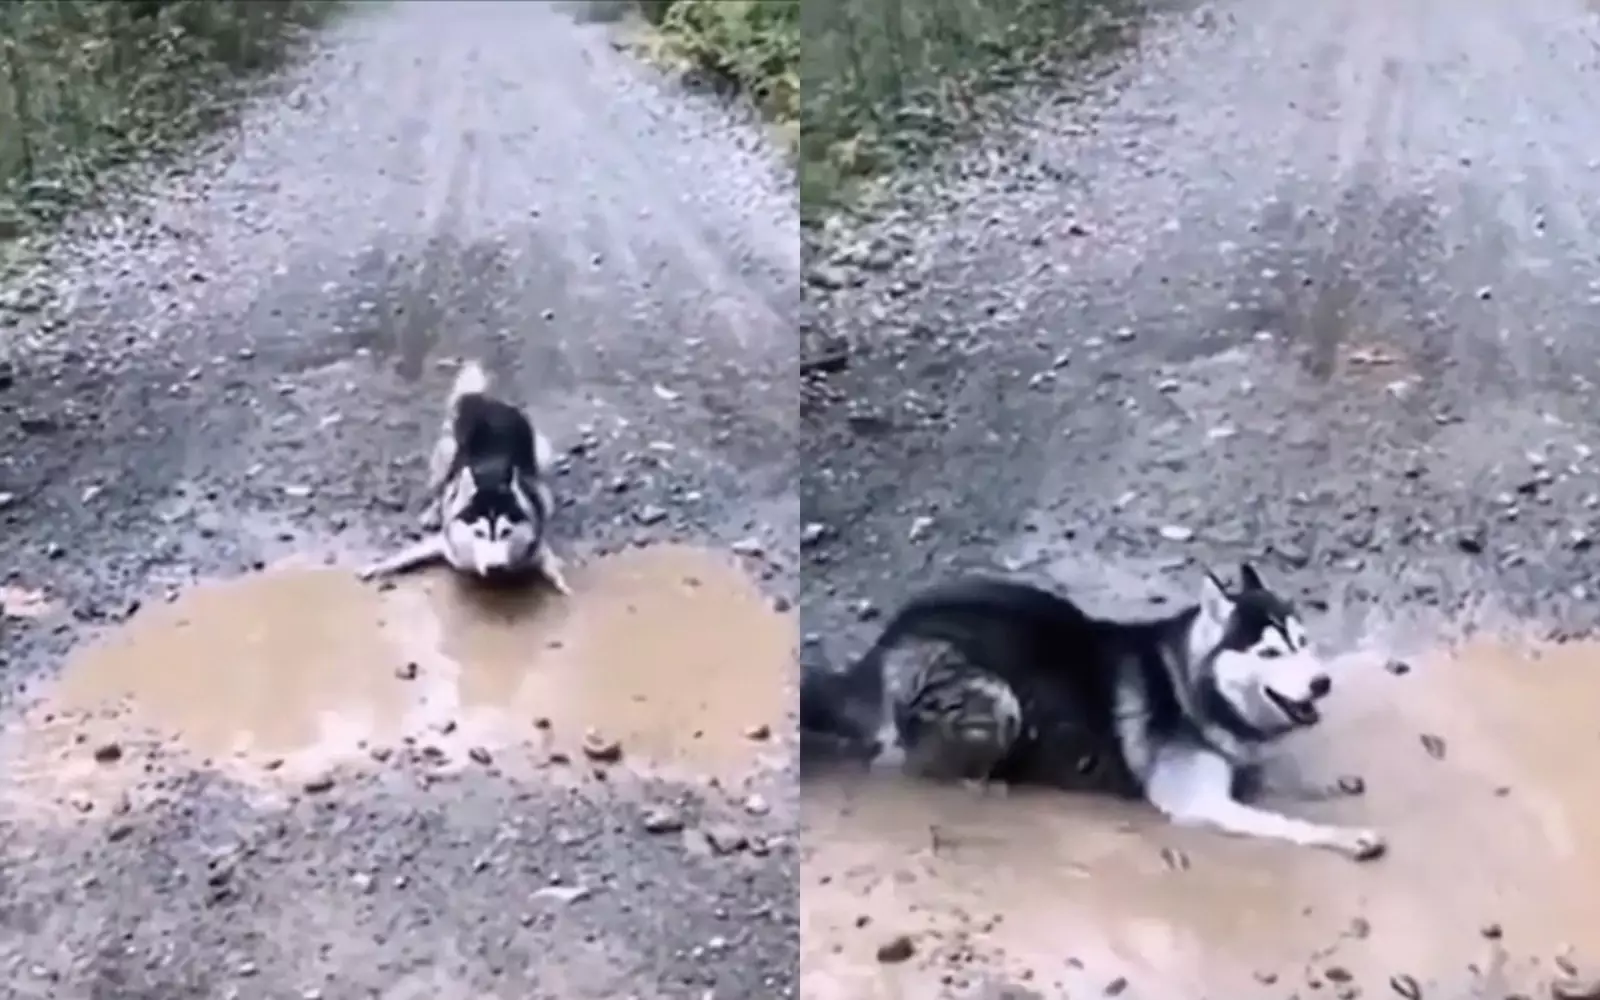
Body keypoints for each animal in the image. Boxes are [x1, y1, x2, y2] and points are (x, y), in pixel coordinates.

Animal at [360, 358, 572, 592]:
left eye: (506, 532)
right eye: (478, 533)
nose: (495, 568)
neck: (491, 479)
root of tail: (484, 400)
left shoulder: (532, 544)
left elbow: (546, 555)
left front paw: (558, 575)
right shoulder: (448, 544)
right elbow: (407, 554)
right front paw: (378, 566)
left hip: (540, 457)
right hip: (445, 455)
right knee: (441, 487)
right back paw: (433, 511)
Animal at [800, 566, 1388, 864]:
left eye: (1303, 643)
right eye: (1269, 652)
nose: (1322, 683)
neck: (1195, 686)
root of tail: (889, 639)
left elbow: (1277, 775)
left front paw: (1332, 782)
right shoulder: (1199, 801)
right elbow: (1285, 822)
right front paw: (1343, 836)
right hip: (996, 698)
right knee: (906, 761)